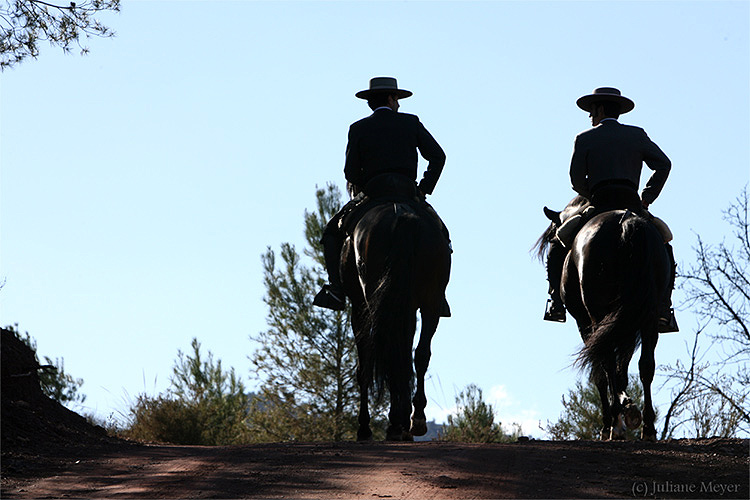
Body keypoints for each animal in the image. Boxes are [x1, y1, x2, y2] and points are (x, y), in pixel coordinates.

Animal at [342, 200, 452, 442]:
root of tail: (400, 212)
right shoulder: (409, 309)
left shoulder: (359, 307)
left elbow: (365, 364)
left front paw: (365, 427)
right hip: (430, 302)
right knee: (420, 354)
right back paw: (415, 419)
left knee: (387, 353)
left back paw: (393, 425)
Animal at [540, 197, 668, 440]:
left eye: (552, 242)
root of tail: (625, 222)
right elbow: (623, 369)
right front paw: (628, 404)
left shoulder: (585, 324)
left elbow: (601, 372)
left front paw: (612, 419)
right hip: (647, 316)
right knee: (646, 365)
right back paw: (647, 427)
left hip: (600, 315)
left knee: (607, 361)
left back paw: (614, 425)